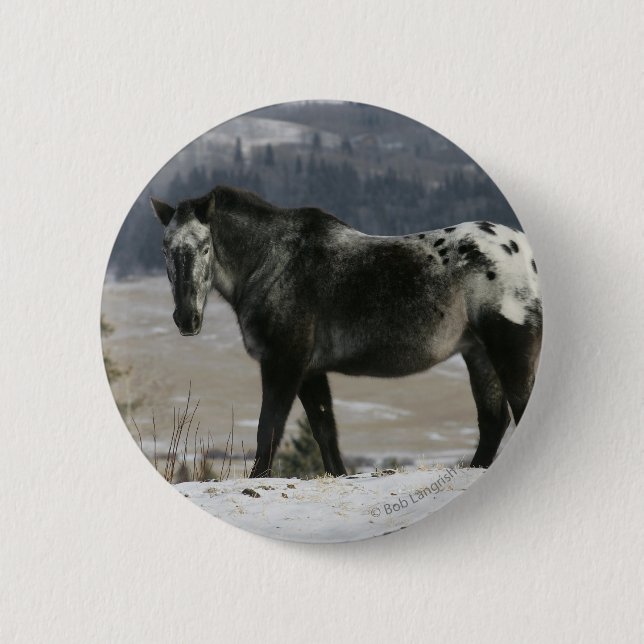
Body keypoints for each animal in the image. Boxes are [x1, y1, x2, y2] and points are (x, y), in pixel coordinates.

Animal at [150, 185, 542, 478]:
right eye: (165, 249)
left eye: (205, 247)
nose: (186, 319)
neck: (272, 262)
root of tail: (524, 250)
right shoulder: (309, 371)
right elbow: (325, 430)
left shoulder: (283, 363)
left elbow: (269, 429)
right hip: (478, 354)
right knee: (493, 421)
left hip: (511, 348)